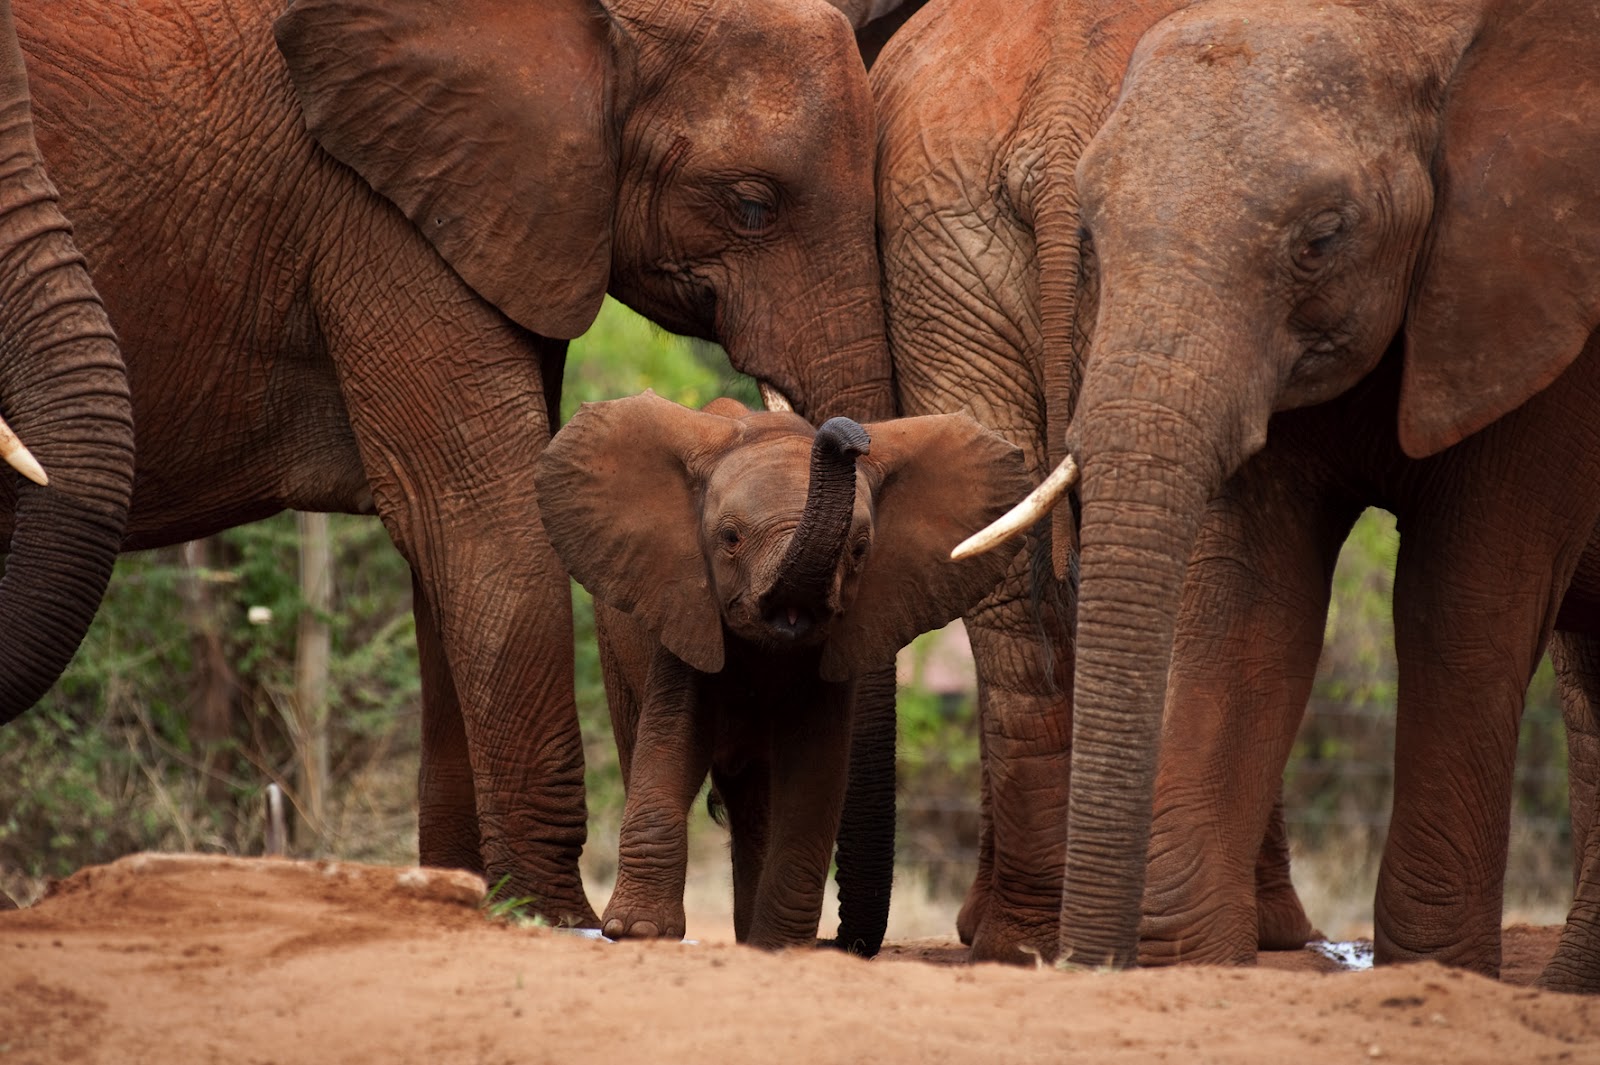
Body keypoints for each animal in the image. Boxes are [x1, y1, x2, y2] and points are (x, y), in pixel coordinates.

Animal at [13, 0, 899, 926]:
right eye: (753, 206)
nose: (841, 434)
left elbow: (447, 554)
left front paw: (462, 894)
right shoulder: (373, 211)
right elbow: (487, 519)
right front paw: (556, 921)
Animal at [534, 392, 1027, 950]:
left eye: (859, 551)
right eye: (729, 538)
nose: (851, 437)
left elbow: (813, 771)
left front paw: (781, 947)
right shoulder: (683, 608)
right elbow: (673, 740)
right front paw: (638, 933)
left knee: (756, 806)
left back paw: (754, 941)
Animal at [956, 0, 1600, 973]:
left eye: (1324, 237)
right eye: (1091, 235)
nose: (1074, 961)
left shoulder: (1546, 325)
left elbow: (1462, 601)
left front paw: (1437, 970)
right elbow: (1253, 599)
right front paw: (1193, 957)